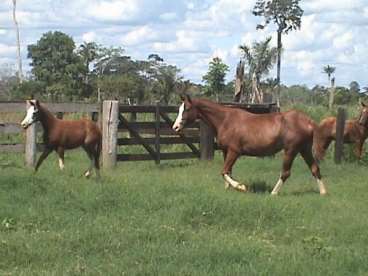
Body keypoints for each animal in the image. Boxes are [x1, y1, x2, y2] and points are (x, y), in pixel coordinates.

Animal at [173, 96, 328, 195]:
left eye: (186, 109)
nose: (175, 127)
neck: (225, 120)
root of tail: (308, 121)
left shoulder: (234, 151)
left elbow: (223, 171)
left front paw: (240, 187)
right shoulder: (225, 151)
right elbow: (228, 172)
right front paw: (228, 189)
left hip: (291, 150)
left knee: (285, 173)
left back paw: (273, 193)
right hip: (304, 149)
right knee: (315, 169)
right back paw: (323, 192)